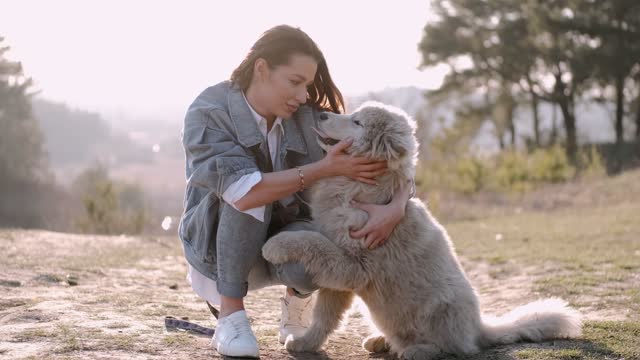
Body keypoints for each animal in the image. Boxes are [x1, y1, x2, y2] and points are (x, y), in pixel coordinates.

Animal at [262, 102, 584, 360]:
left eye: (357, 122)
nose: (322, 114)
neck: (366, 187)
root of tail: (479, 329)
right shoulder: (339, 278)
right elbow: (324, 317)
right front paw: (305, 343)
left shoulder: (353, 263)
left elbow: (311, 241)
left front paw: (275, 245)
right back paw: (381, 341)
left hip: (442, 308)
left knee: (454, 348)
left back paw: (417, 349)